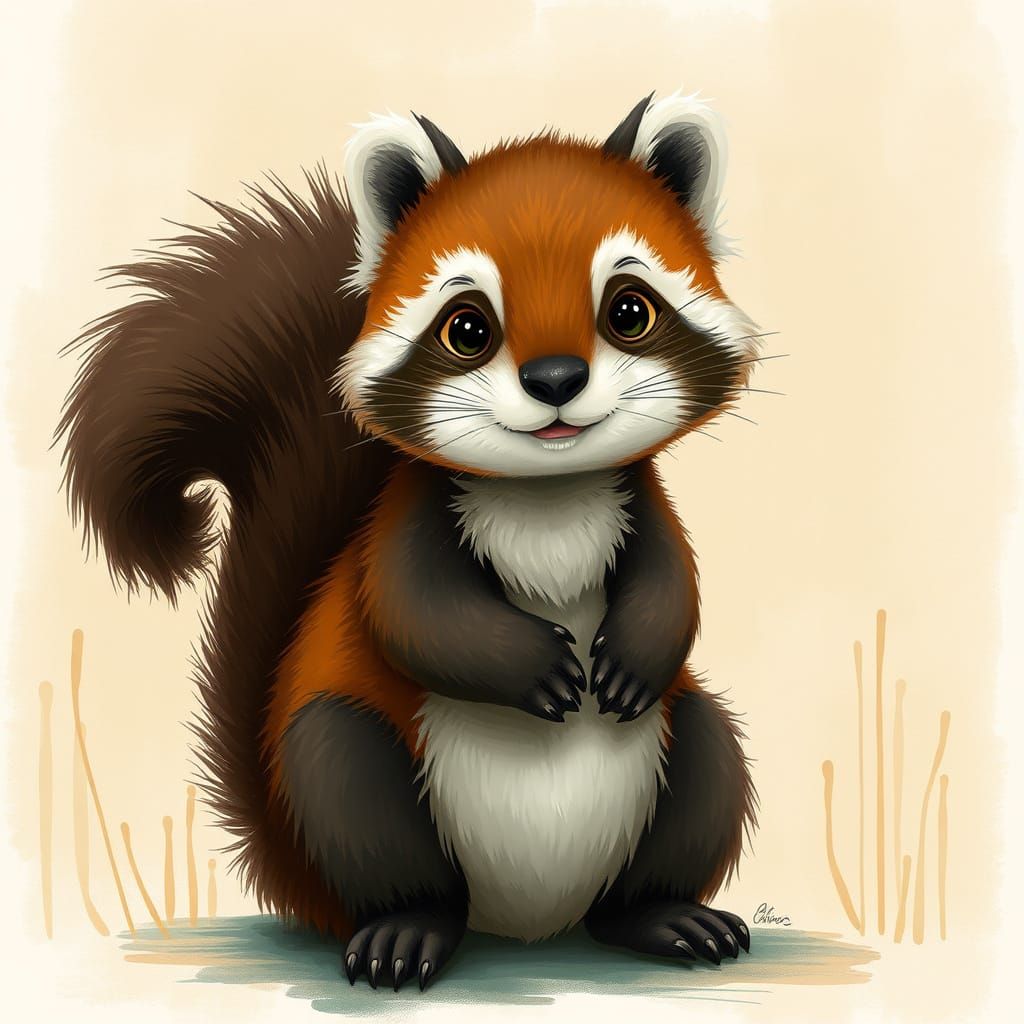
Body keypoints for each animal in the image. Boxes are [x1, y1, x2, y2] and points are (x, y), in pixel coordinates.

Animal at [58, 92, 758, 992]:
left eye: (629, 309)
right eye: (468, 327)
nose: (556, 381)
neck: (549, 496)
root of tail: (527, 922)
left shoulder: (640, 502)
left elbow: (677, 590)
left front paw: (635, 651)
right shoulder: (404, 520)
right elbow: (411, 612)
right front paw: (529, 663)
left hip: (679, 758)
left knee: (704, 750)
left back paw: (660, 912)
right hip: (347, 771)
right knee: (352, 782)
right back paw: (407, 925)